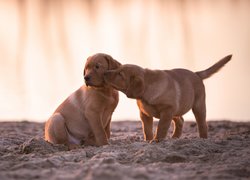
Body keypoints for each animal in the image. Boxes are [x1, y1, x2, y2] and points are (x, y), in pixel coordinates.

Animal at [104, 54, 232, 142]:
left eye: (120, 74)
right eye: (116, 69)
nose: (105, 73)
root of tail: (196, 74)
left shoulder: (167, 111)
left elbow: (161, 127)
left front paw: (156, 140)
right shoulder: (144, 114)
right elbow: (147, 129)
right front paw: (148, 140)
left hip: (198, 106)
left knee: (202, 123)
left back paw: (203, 138)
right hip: (177, 109)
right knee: (180, 120)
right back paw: (175, 137)